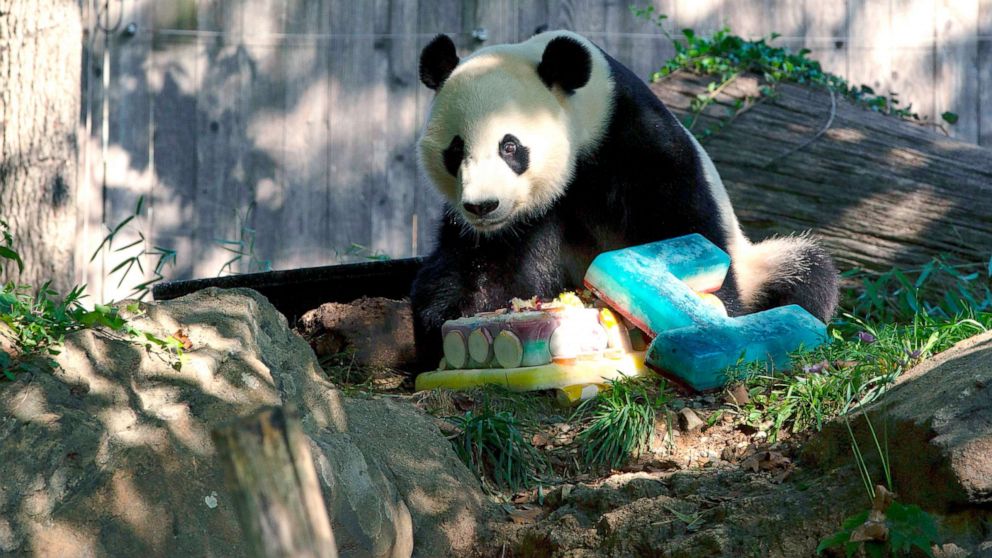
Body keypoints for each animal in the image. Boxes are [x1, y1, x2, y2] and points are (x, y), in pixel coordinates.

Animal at [408, 31, 836, 372]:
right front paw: (455, 319)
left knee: (807, 275)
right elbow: (484, 264)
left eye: (509, 146)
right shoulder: (516, 221)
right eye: (455, 150)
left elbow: (683, 226)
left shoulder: (635, 138)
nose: (482, 206)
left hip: (758, 267)